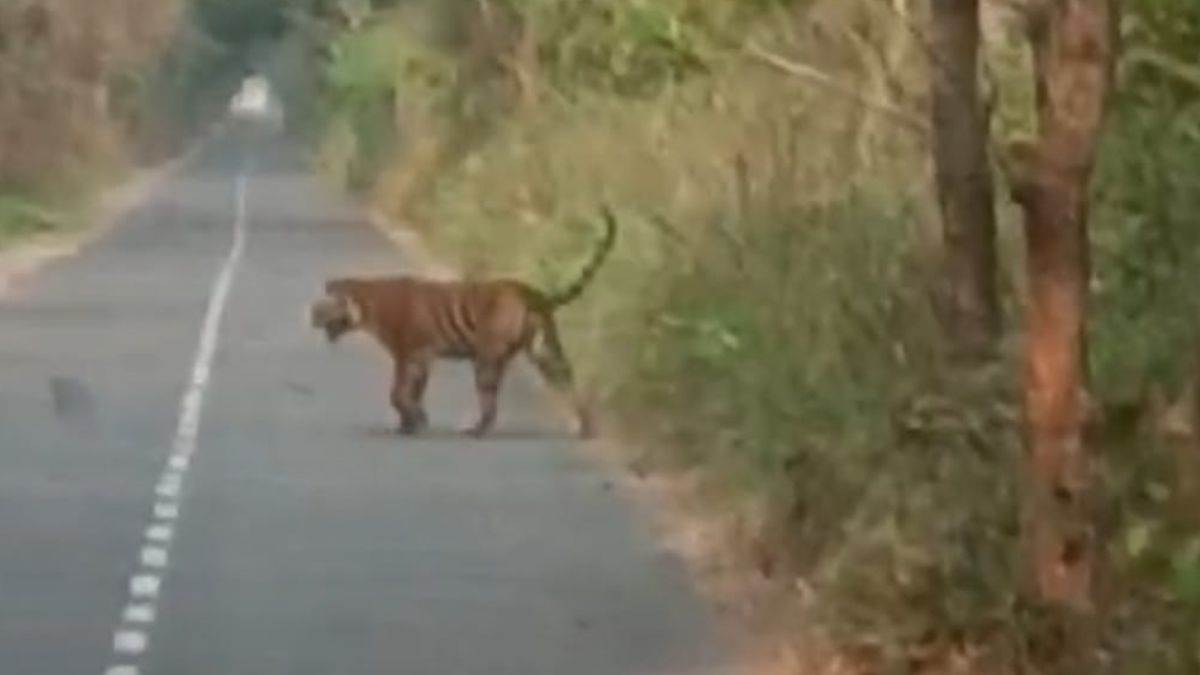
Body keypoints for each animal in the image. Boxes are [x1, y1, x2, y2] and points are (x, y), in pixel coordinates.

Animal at [309, 207, 617, 439]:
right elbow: (414, 392)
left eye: (324, 305)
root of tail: (530, 291)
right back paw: (586, 427)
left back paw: (476, 430)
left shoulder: (408, 353)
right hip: (544, 349)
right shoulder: (422, 357)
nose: (311, 316)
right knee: (567, 380)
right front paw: (414, 422)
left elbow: (397, 392)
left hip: (486, 356)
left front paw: (412, 422)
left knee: (489, 398)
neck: (368, 305)